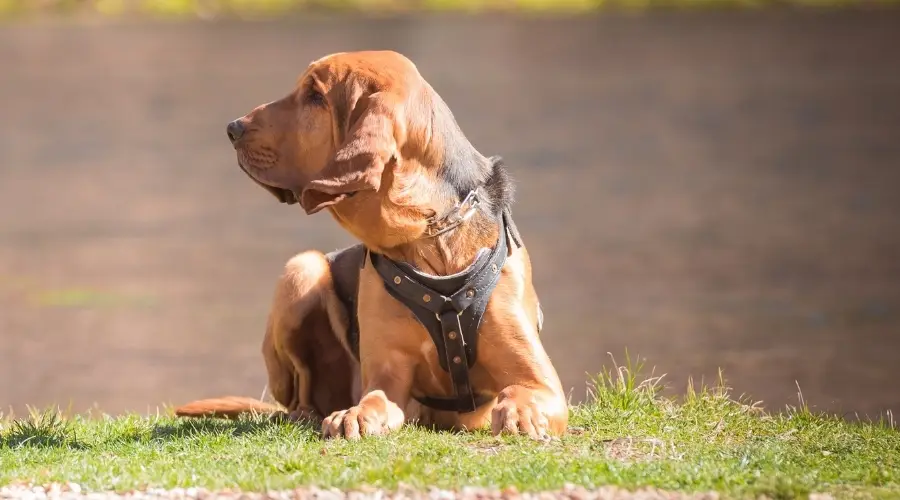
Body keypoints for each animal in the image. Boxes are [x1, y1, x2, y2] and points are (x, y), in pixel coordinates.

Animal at [174, 50, 568, 440]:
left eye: (315, 96)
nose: (233, 128)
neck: (430, 239)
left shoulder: (543, 383)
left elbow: (520, 392)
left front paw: (520, 412)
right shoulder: (386, 374)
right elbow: (374, 399)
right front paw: (354, 416)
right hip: (302, 269)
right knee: (299, 392)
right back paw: (309, 414)